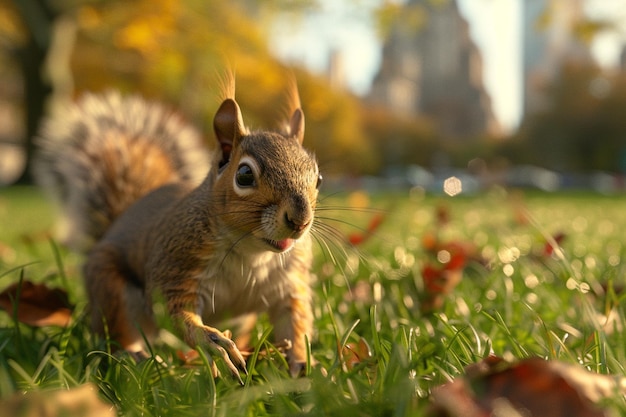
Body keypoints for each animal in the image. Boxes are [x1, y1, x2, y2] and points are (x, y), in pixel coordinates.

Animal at [33, 73, 320, 378]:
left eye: (319, 178)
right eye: (244, 175)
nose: (300, 220)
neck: (251, 252)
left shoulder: (289, 284)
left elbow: (294, 321)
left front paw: (302, 364)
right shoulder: (176, 263)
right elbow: (173, 310)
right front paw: (210, 342)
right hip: (111, 289)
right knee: (118, 330)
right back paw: (133, 356)